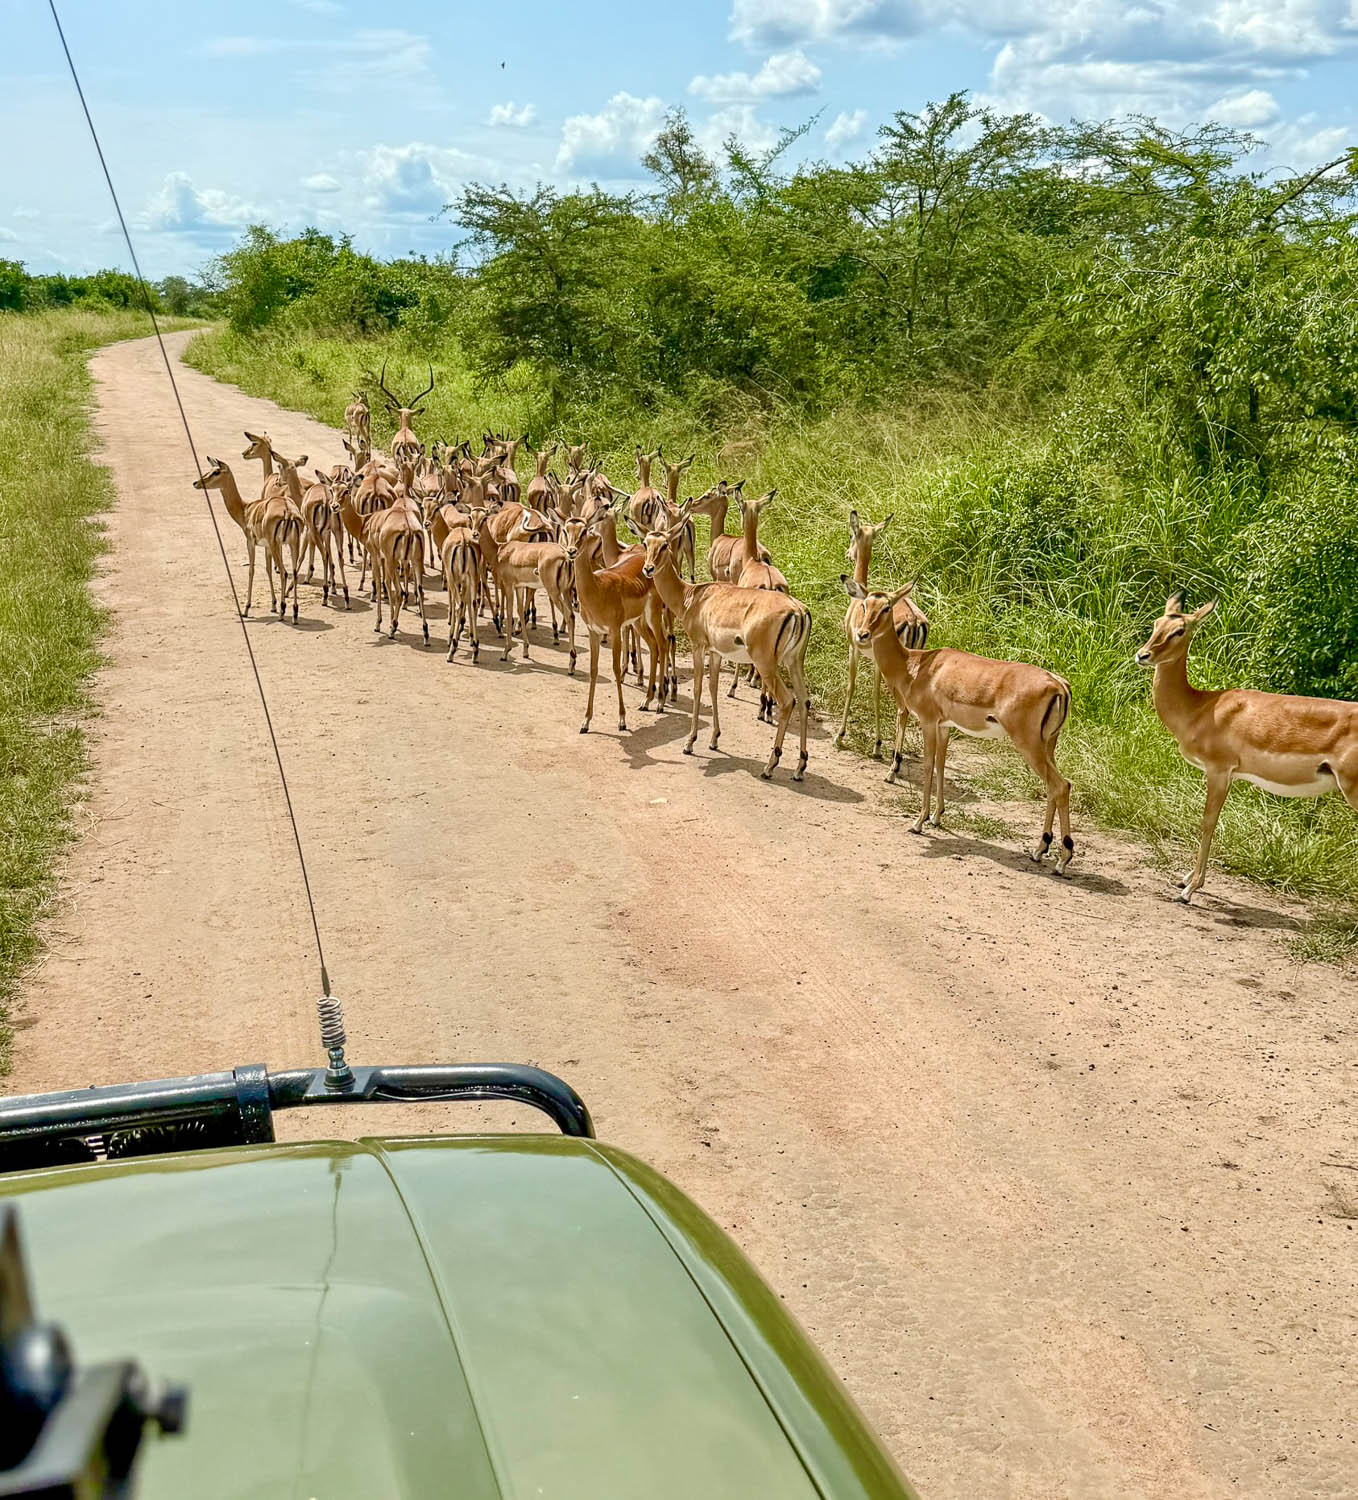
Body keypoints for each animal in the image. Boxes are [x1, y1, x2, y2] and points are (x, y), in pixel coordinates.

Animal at [643, 512, 811, 780]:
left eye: (665, 545)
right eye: (646, 543)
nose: (648, 568)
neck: (691, 597)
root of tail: (797, 610)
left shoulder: (698, 645)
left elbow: (699, 688)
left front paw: (690, 743)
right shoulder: (716, 653)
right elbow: (713, 689)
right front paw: (714, 740)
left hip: (767, 664)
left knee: (787, 702)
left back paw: (770, 766)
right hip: (794, 662)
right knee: (804, 701)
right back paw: (799, 768)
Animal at [834, 510, 929, 757]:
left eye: (851, 535)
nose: (848, 554)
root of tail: (914, 621)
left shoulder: (854, 649)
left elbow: (851, 686)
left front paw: (840, 736)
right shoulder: (877, 661)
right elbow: (875, 694)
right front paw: (877, 744)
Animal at [843, 578, 1075, 872]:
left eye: (886, 608)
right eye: (864, 605)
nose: (862, 634)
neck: (915, 666)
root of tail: (1058, 685)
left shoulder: (928, 721)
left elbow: (928, 766)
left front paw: (918, 822)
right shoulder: (945, 726)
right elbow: (941, 765)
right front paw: (937, 817)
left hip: (1029, 745)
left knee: (1061, 786)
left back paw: (1062, 860)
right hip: (1048, 746)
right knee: (1054, 788)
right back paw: (1039, 850)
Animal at [1136, 594, 1358, 904]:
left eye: (1180, 630)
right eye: (1157, 622)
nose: (1143, 655)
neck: (1201, 708)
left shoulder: (1218, 770)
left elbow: (1208, 822)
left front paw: (1190, 890)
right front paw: (1186, 880)